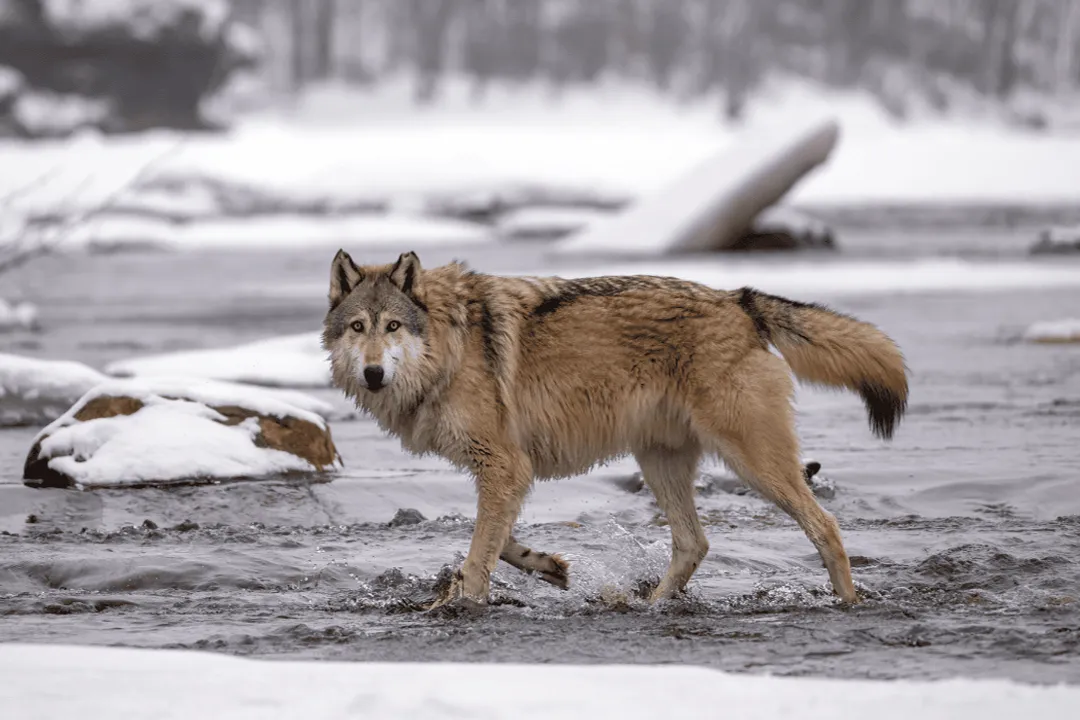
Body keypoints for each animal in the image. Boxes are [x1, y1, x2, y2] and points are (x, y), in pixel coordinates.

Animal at [322, 249, 908, 609]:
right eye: (358, 327)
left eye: (392, 326)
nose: (373, 373)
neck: (450, 345)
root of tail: (740, 300)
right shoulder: (507, 471)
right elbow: (498, 539)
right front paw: (550, 567)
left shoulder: (506, 465)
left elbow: (478, 556)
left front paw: (465, 600)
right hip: (660, 462)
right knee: (694, 544)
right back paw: (649, 605)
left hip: (754, 464)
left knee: (826, 527)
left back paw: (848, 604)